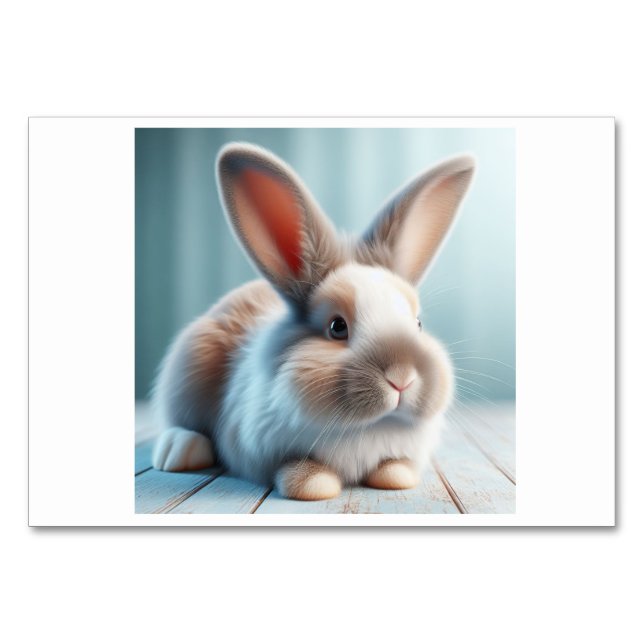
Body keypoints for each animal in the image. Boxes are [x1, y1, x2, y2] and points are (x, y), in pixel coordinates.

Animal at [151, 142, 475, 501]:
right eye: (337, 327)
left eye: (417, 323)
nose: (402, 378)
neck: (367, 427)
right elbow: (297, 467)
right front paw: (313, 485)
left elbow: (394, 465)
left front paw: (397, 476)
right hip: (187, 373)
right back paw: (178, 450)